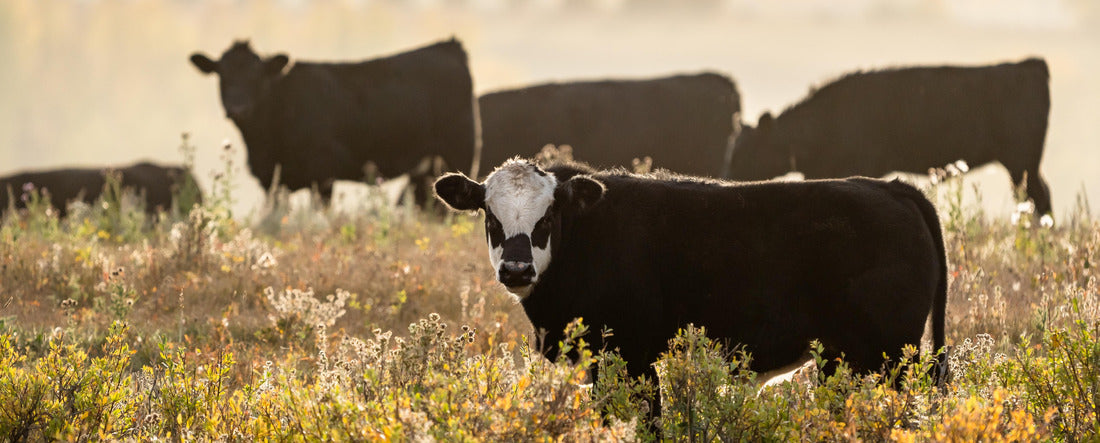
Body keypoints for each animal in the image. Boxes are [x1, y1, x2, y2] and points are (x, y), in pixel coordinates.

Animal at [189, 38, 478, 203]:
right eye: (222, 75)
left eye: (256, 76)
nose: (238, 108)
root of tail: (448, 45)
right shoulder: (272, 182)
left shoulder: (323, 173)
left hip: (459, 152)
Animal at [435, 158, 947, 421]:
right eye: (491, 216)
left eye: (547, 218)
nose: (517, 269)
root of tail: (890, 187)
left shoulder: (630, 355)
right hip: (842, 359)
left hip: (889, 354)